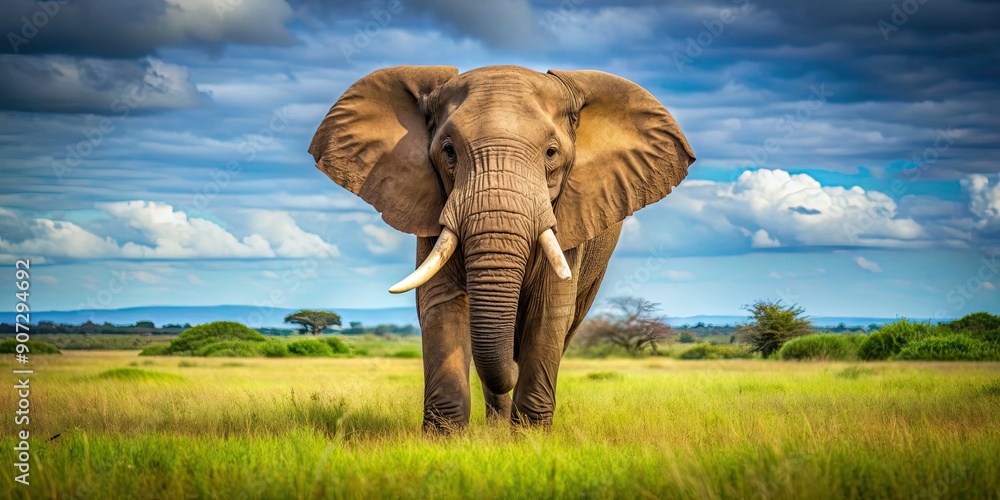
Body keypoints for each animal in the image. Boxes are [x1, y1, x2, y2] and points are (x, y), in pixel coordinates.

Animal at [308, 65, 695, 431]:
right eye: (448, 151)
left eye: (551, 153)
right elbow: (443, 303)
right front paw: (444, 439)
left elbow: (549, 310)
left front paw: (530, 439)